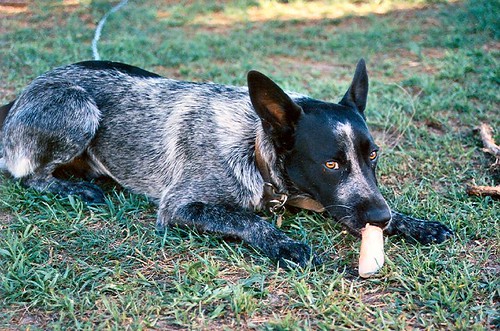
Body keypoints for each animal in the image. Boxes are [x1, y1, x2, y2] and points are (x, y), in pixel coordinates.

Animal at [0, 59, 454, 268]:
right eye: (331, 165)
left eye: (372, 155)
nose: (379, 217)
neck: (251, 146)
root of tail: (20, 96)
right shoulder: (179, 207)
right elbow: (247, 219)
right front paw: (283, 242)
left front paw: (414, 223)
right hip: (78, 108)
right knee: (29, 176)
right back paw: (74, 185)